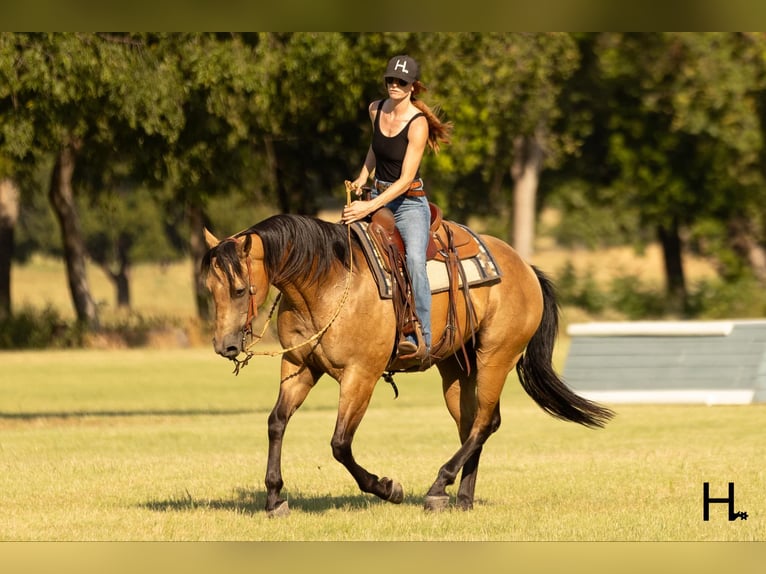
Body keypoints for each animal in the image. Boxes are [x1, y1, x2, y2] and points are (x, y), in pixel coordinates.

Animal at [202, 213, 613, 516]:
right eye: (210, 289)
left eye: (239, 289)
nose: (224, 346)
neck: (327, 282)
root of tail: (524, 268)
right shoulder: (299, 366)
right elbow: (276, 423)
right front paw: (274, 498)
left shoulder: (360, 375)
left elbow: (340, 443)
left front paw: (387, 487)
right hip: (457, 370)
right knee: (474, 425)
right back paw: (460, 499)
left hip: (496, 357)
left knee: (484, 423)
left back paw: (438, 486)